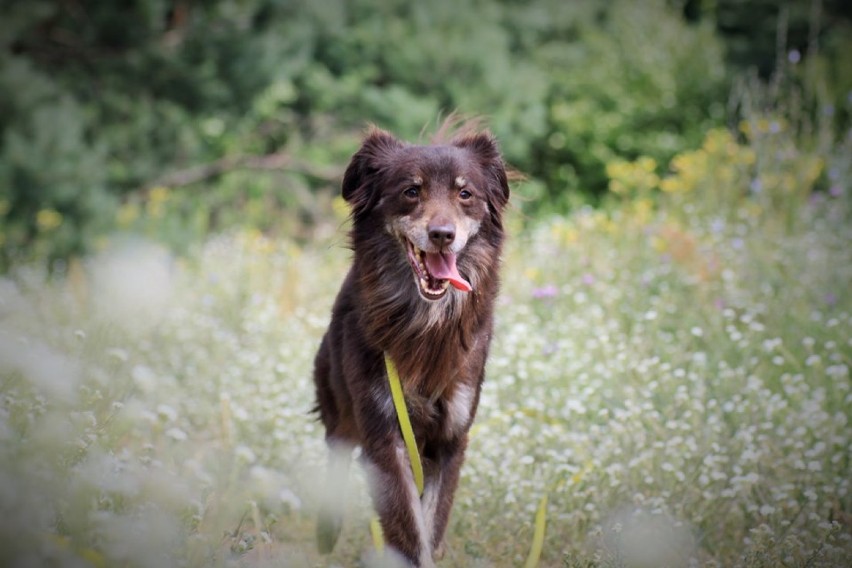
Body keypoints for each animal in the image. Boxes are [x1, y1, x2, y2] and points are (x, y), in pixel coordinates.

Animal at [312, 122, 510, 564]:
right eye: (411, 191)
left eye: (465, 194)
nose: (442, 235)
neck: (426, 325)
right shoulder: (385, 435)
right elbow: (407, 529)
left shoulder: (450, 438)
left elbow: (430, 526)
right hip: (339, 411)